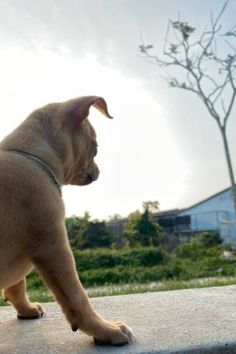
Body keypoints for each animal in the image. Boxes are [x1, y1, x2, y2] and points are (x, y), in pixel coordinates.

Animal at [0, 97, 133, 346]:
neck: (31, 154)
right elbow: (77, 297)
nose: (99, 171)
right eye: (96, 147)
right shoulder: (54, 249)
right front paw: (106, 330)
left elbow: (17, 286)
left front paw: (26, 310)